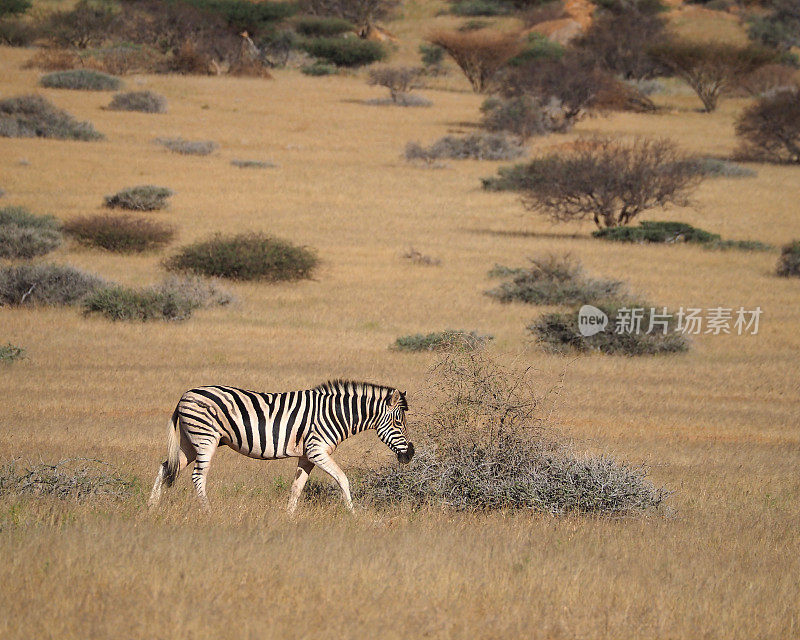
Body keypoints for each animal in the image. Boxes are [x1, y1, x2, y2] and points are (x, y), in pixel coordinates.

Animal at [147, 382, 416, 512]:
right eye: (398, 422)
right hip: (205, 438)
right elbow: (343, 479)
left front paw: (289, 517)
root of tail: (185, 395)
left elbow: (296, 488)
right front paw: (353, 514)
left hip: (189, 442)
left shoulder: (307, 455)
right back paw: (208, 512)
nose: (410, 454)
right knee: (197, 476)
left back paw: (151, 507)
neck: (335, 415)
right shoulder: (317, 450)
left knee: (166, 466)